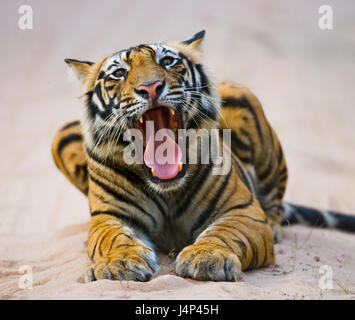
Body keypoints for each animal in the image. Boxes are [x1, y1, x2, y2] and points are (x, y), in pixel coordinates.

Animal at [52, 30, 355, 282]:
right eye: (118, 73)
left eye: (167, 61)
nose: (150, 87)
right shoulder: (111, 216)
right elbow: (113, 239)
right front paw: (119, 264)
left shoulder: (241, 210)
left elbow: (226, 233)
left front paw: (208, 258)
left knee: (274, 204)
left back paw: (274, 227)